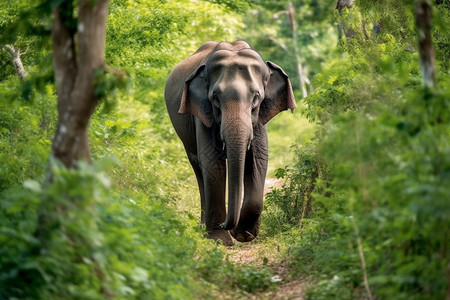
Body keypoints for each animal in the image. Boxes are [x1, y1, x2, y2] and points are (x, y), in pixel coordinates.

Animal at [164, 41, 296, 245]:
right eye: (215, 98)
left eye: (256, 98)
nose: (226, 225)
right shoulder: (203, 115)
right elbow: (212, 163)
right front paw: (220, 240)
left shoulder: (259, 118)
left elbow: (258, 161)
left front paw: (243, 235)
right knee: (198, 168)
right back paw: (204, 229)